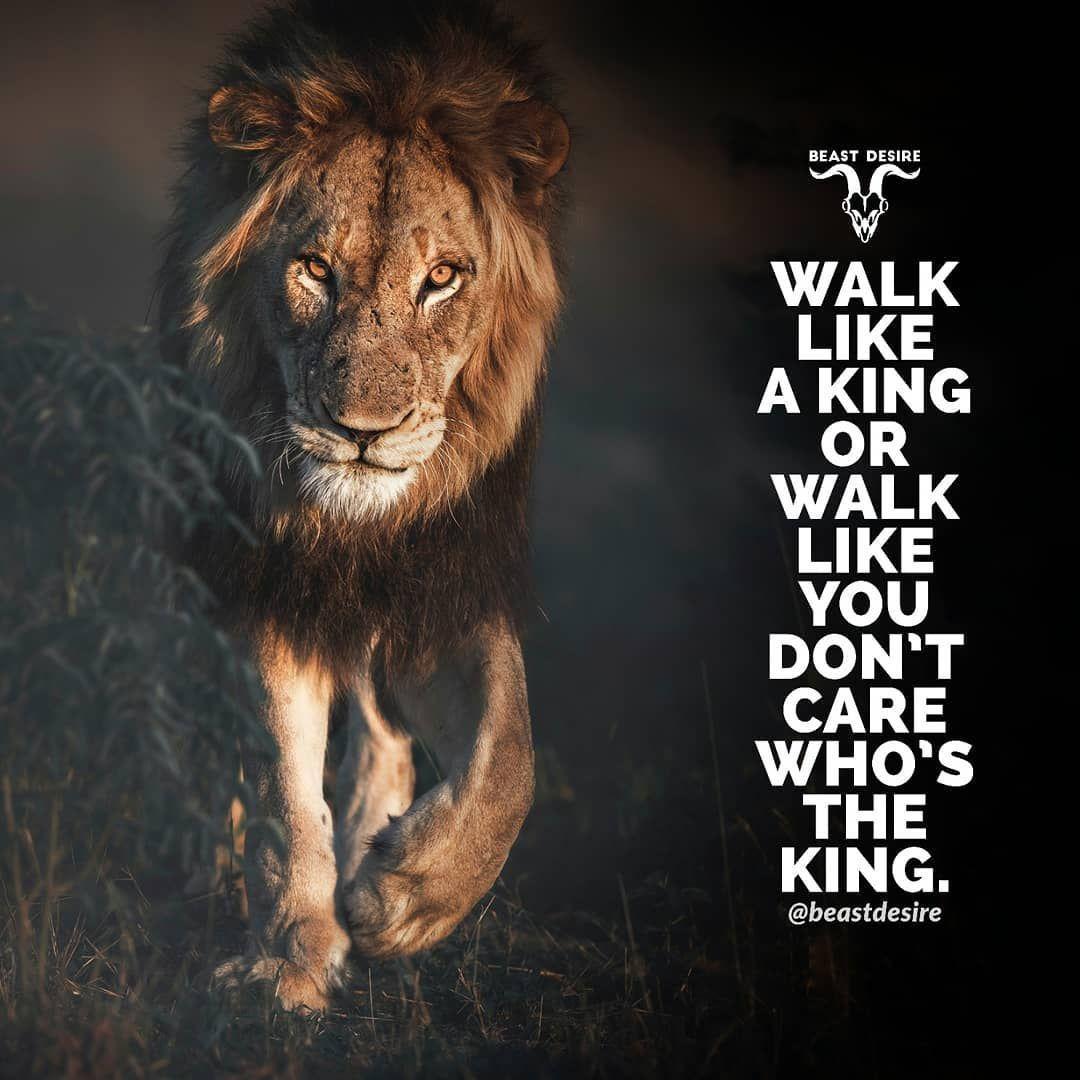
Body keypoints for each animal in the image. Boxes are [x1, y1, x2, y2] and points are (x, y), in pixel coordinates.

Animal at [157, 0, 569, 1012]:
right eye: (314, 268)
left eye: (443, 278)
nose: (362, 433)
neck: (355, 527)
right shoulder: (264, 580)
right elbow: (279, 780)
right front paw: (292, 957)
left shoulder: (445, 579)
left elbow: (511, 757)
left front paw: (402, 900)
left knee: (384, 736)